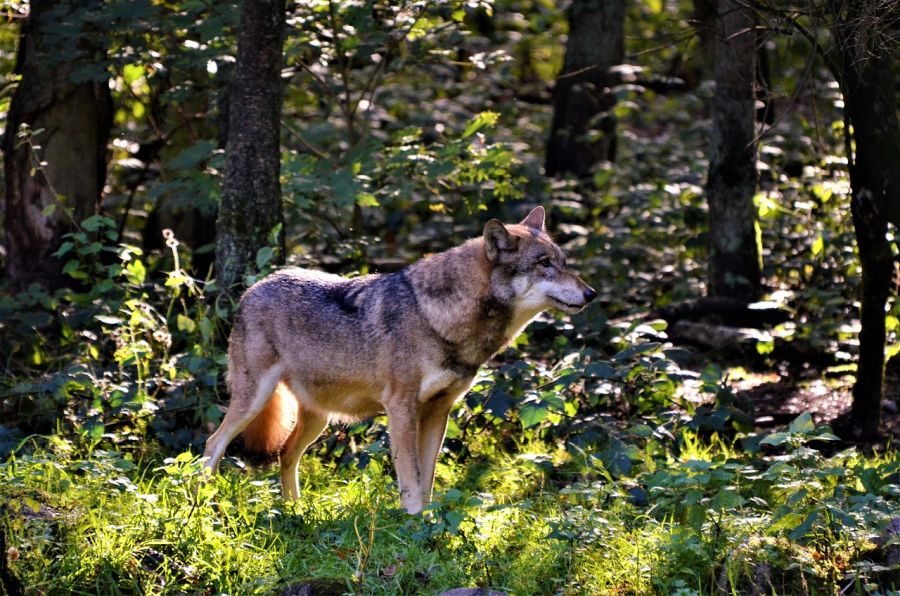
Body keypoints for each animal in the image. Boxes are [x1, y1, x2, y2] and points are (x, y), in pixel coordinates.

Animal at [204, 205, 596, 512]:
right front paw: (414, 526)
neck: (438, 318)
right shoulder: (401, 408)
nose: (591, 293)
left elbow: (428, 479)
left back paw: (295, 513)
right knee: (213, 444)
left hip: (319, 419)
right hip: (254, 401)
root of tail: (254, 287)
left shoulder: (438, 411)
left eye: (563, 262)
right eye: (544, 264)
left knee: (285, 455)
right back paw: (202, 504)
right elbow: (411, 478)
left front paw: (428, 526)